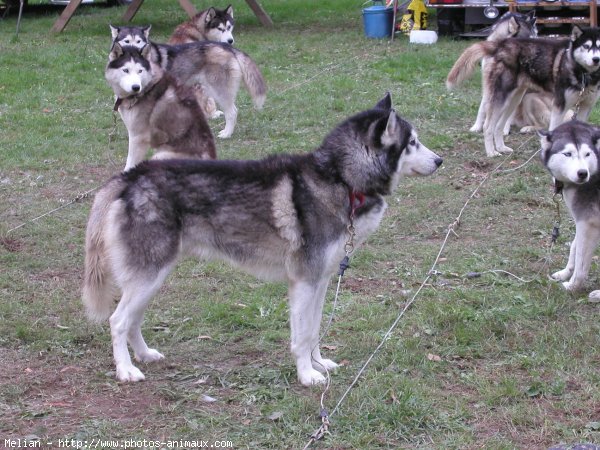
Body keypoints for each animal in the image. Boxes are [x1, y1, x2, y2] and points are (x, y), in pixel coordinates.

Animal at [82, 93, 440, 384]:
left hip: (152, 277)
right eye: (411, 142)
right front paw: (307, 376)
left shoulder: (320, 281)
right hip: (149, 275)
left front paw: (318, 364)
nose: (440, 160)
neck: (340, 177)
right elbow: (302, 336)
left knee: (132, 320)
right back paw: (126, 370)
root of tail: (130, 176)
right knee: (117, 321)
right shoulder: (304, 282)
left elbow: (313, 331)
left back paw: (144, 355)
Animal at [110, 24, 264, 137]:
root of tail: (228, 47)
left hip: (218, 90)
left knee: (232, 112)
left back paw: (226, 134)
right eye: (126, 41)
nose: (135, 54)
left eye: (139, 42)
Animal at [448, 26, 600, 157]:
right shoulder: (559, 106)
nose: (596, 59)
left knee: (499, 126)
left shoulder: (586, 107)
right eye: (586, 46)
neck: (584, 75)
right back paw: (491, 152)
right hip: (501, 99)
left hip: (514, 101)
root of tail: (500, 44)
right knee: (488, 127)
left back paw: (501, 147)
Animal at [540, 121, 600, 300]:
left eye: (587, 154)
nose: (582, 173)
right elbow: (575, 246)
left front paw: (573, 286)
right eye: (567, 154)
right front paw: (565, 273)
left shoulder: (588, 223)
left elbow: (581, 262)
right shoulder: (585, 222)